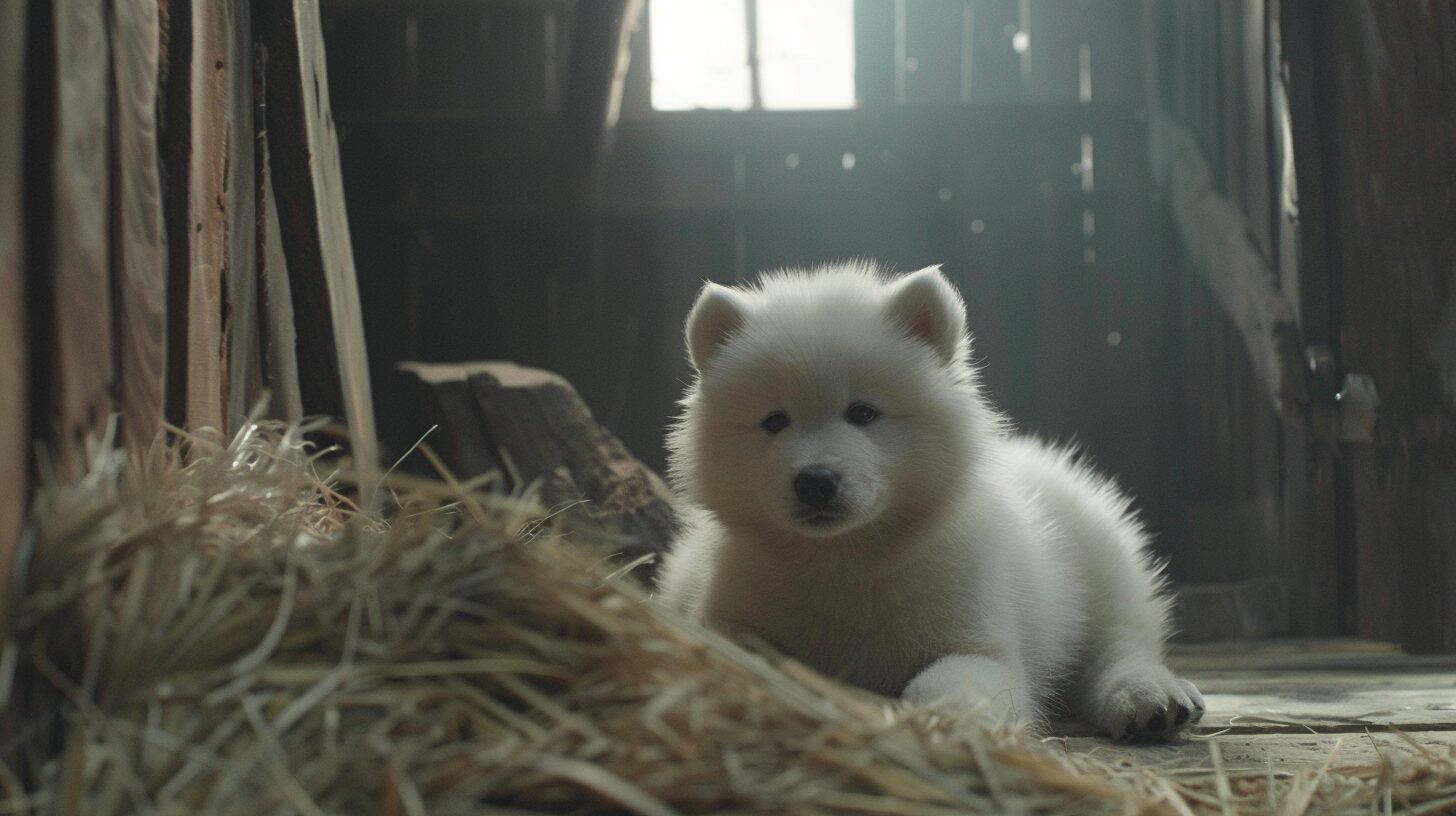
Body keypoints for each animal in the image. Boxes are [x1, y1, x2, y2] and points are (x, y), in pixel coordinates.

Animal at [661, 259, 1205, 740]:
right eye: (774, 422)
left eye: (862, 413)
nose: (815, 481)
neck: (842, 563)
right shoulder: (726, 611)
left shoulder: (979, 644)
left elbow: (945, 683)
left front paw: (948, 724)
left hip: (1102, 555)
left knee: (1121, 641)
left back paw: (1149, 696)